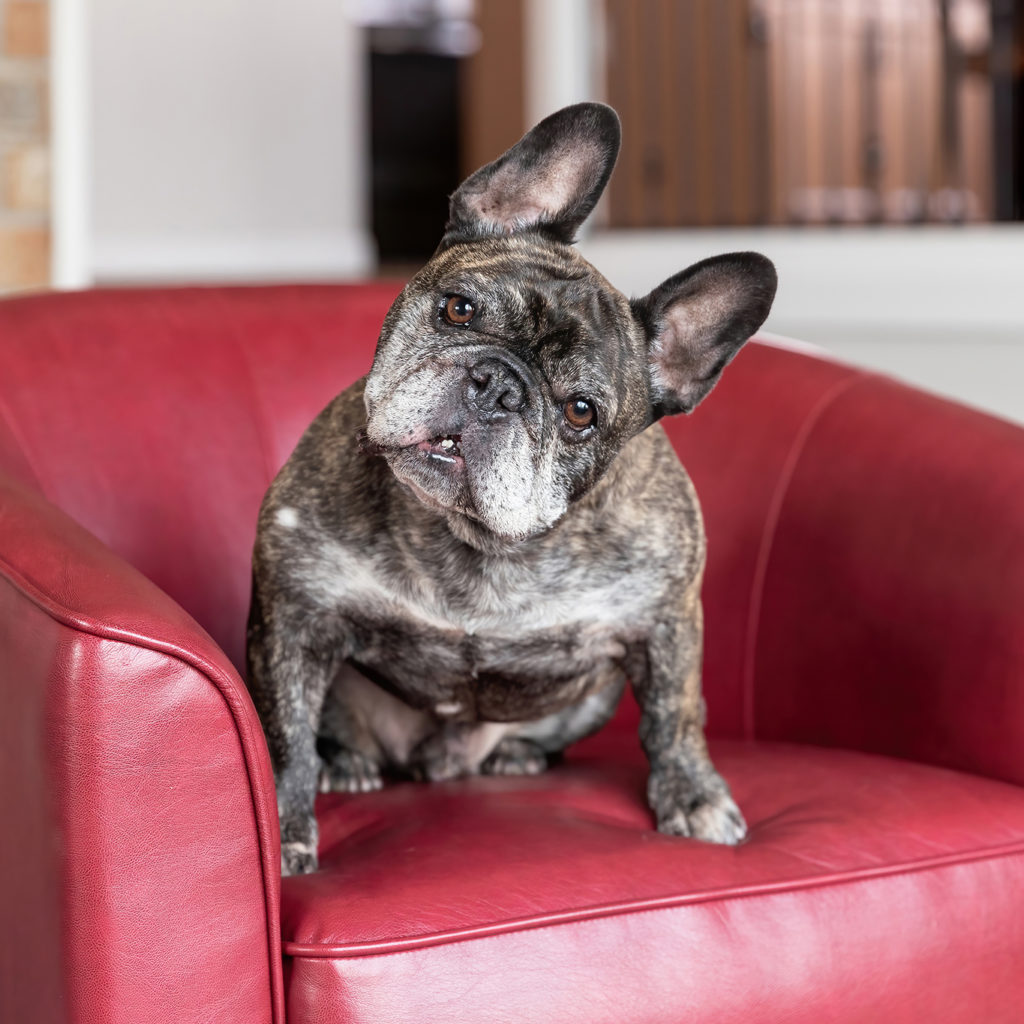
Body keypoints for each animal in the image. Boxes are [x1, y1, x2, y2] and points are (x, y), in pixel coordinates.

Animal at [247, 101, 774, 872]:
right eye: (459, 309)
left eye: (581, 412)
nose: (498, 385)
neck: (475, 541)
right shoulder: (296, 615)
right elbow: (284, 736)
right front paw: (285, 836)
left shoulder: (666, 622)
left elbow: (676, 716)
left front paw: (694, 798)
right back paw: (350, 765)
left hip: (592, 697)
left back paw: (516, 756)